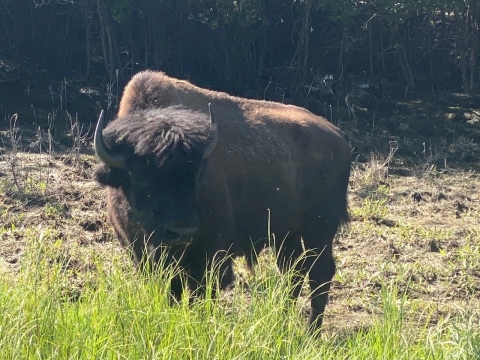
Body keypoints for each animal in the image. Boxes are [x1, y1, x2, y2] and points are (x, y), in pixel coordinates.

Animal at [92, 70, 350, 330]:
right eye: (141, 178)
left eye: (197, 176)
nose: (182, 232)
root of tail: (340, 138)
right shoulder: (140, 252)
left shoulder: (210, 255)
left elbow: (200, 293)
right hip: (286, 234)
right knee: (293, 271)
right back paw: (282, 320)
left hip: (319, 229)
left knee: (320, 272)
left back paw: (310, 332)